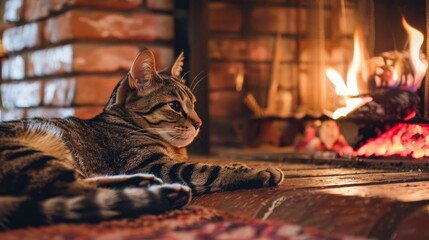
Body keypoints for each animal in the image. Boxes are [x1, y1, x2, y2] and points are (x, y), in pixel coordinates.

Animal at [0, 48, 284, 229]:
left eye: (193, 103)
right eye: (175, 106)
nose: (200, 123)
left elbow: (221, 164)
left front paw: (240, 164)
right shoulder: (156, 164)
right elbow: (210, 169)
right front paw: (260, 171)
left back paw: (144, 184)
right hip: (30, 154)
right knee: (72, 190)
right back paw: (161, 192)